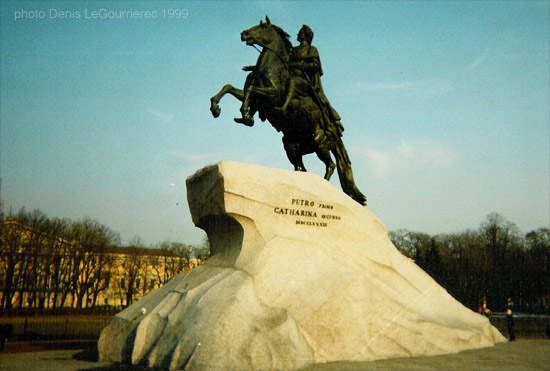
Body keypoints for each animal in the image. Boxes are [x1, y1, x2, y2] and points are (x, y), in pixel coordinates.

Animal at [210, 18, 366, 206]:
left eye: (262, 27)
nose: (243, 34)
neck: (268, 67)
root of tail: (337, 135)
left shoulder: (272, 95)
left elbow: (251, 91)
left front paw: (246, 115)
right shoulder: (255, 98)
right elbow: (230, 87)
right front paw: (216, 108)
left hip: (319, 143)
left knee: (330, 165)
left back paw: (323, 188)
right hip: (291, 145)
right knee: (301, 167)